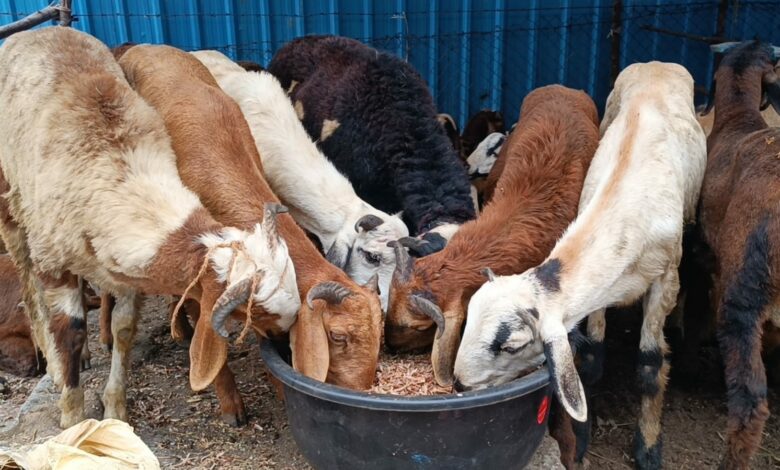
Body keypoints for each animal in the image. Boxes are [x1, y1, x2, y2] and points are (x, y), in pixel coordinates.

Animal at [0, 27, 300, 428]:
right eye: (256, 313)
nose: (284, 345)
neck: (122, 175)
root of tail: (40, 30)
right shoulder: (53, 258)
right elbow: (70, 332)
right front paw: (73, 417)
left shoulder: (125, 267)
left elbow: (124, 327)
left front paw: (116, 409)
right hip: (15, 213)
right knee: (31, 294)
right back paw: (52, 361)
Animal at [453, 62, 707, 469]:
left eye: (511, 346)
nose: (459, 384)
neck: (625, 213)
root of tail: (655, 64)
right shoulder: (599, 290)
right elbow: (590, 357)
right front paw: (582, 439)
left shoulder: (665, 278)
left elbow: (650, 365)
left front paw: (649, 448)